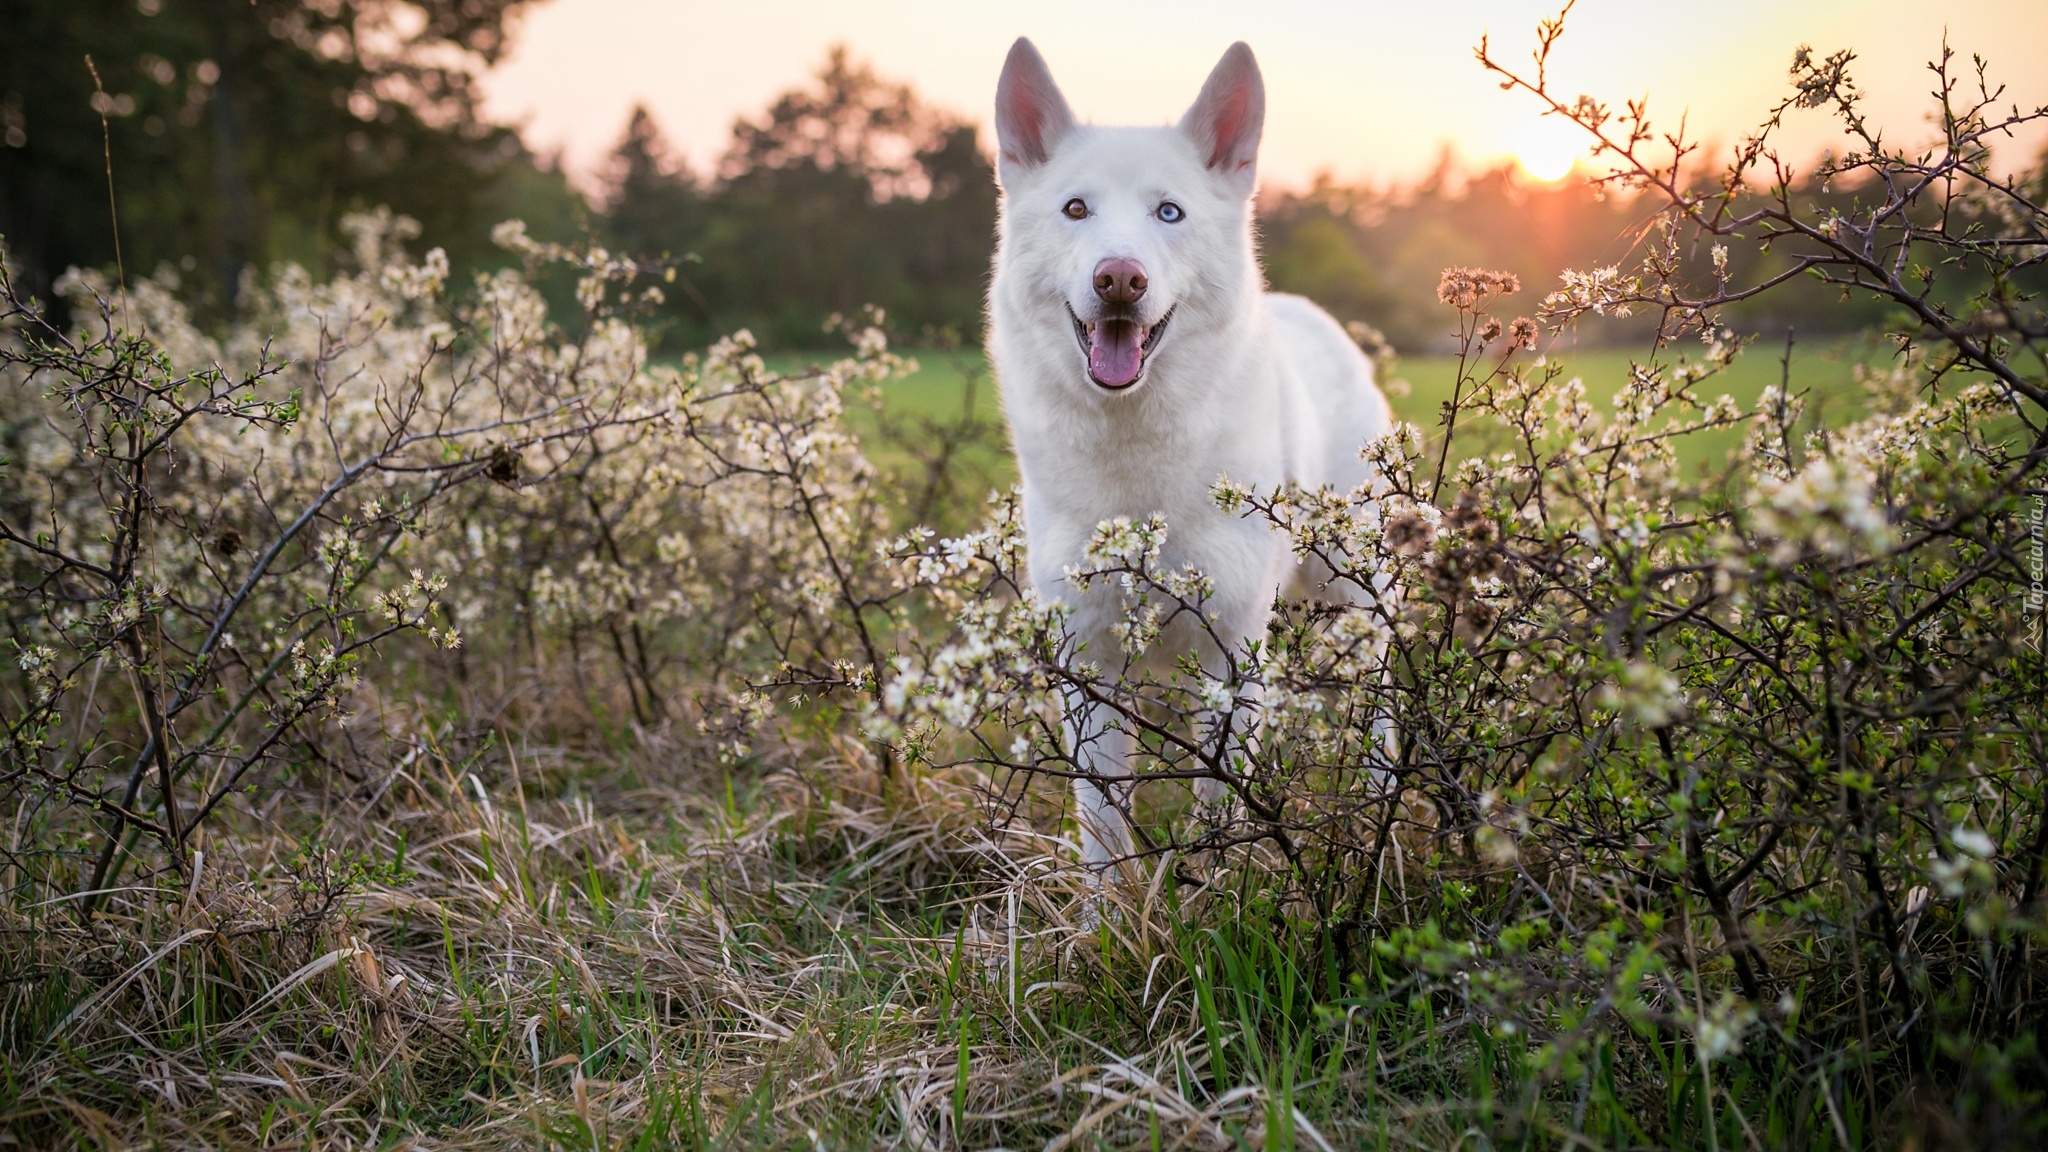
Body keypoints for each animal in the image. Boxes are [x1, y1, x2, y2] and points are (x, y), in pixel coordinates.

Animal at [987, 38, 1392, 869]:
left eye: (1168, 212)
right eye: (1075, 209)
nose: (1120, 278)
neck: (1134, 460)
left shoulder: (1232, 651)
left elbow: (1221, 818)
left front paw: (1218, 893)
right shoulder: (1088, 661)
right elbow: (1103, 832)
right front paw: (1110, 908)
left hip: (1358, 593)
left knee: (1382, 704)